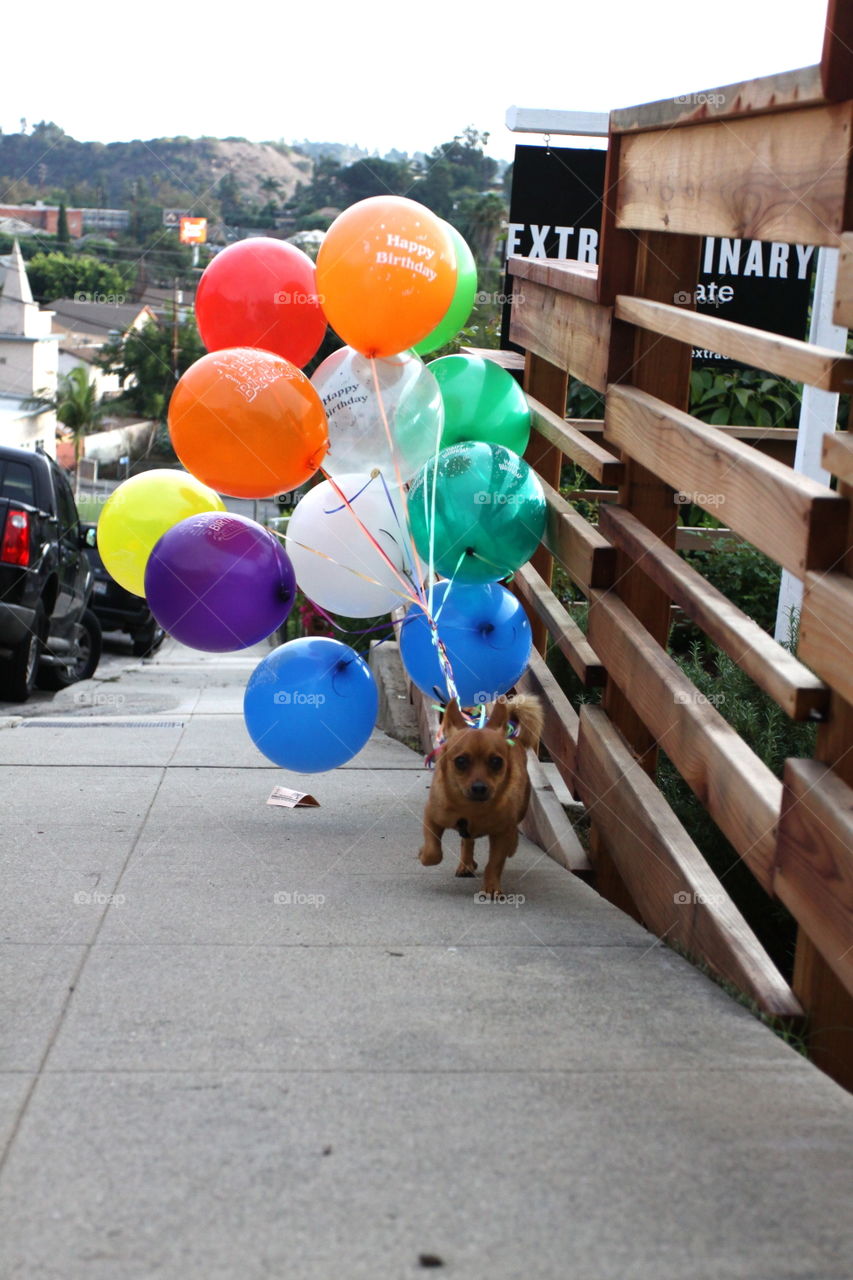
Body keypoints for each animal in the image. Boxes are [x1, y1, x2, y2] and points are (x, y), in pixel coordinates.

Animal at [417, 696, 545, 896]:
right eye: (461, 761)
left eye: (496, 761)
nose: (479, 787)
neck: (472, 809)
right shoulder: (432, 818)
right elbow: (433, 851)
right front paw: (424, 854)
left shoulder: (501, 834)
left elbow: (494, 864)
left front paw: (492, 887)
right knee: (467, 842)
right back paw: (466, 864)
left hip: (520, 810)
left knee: (510, 834)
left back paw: (510, 845)